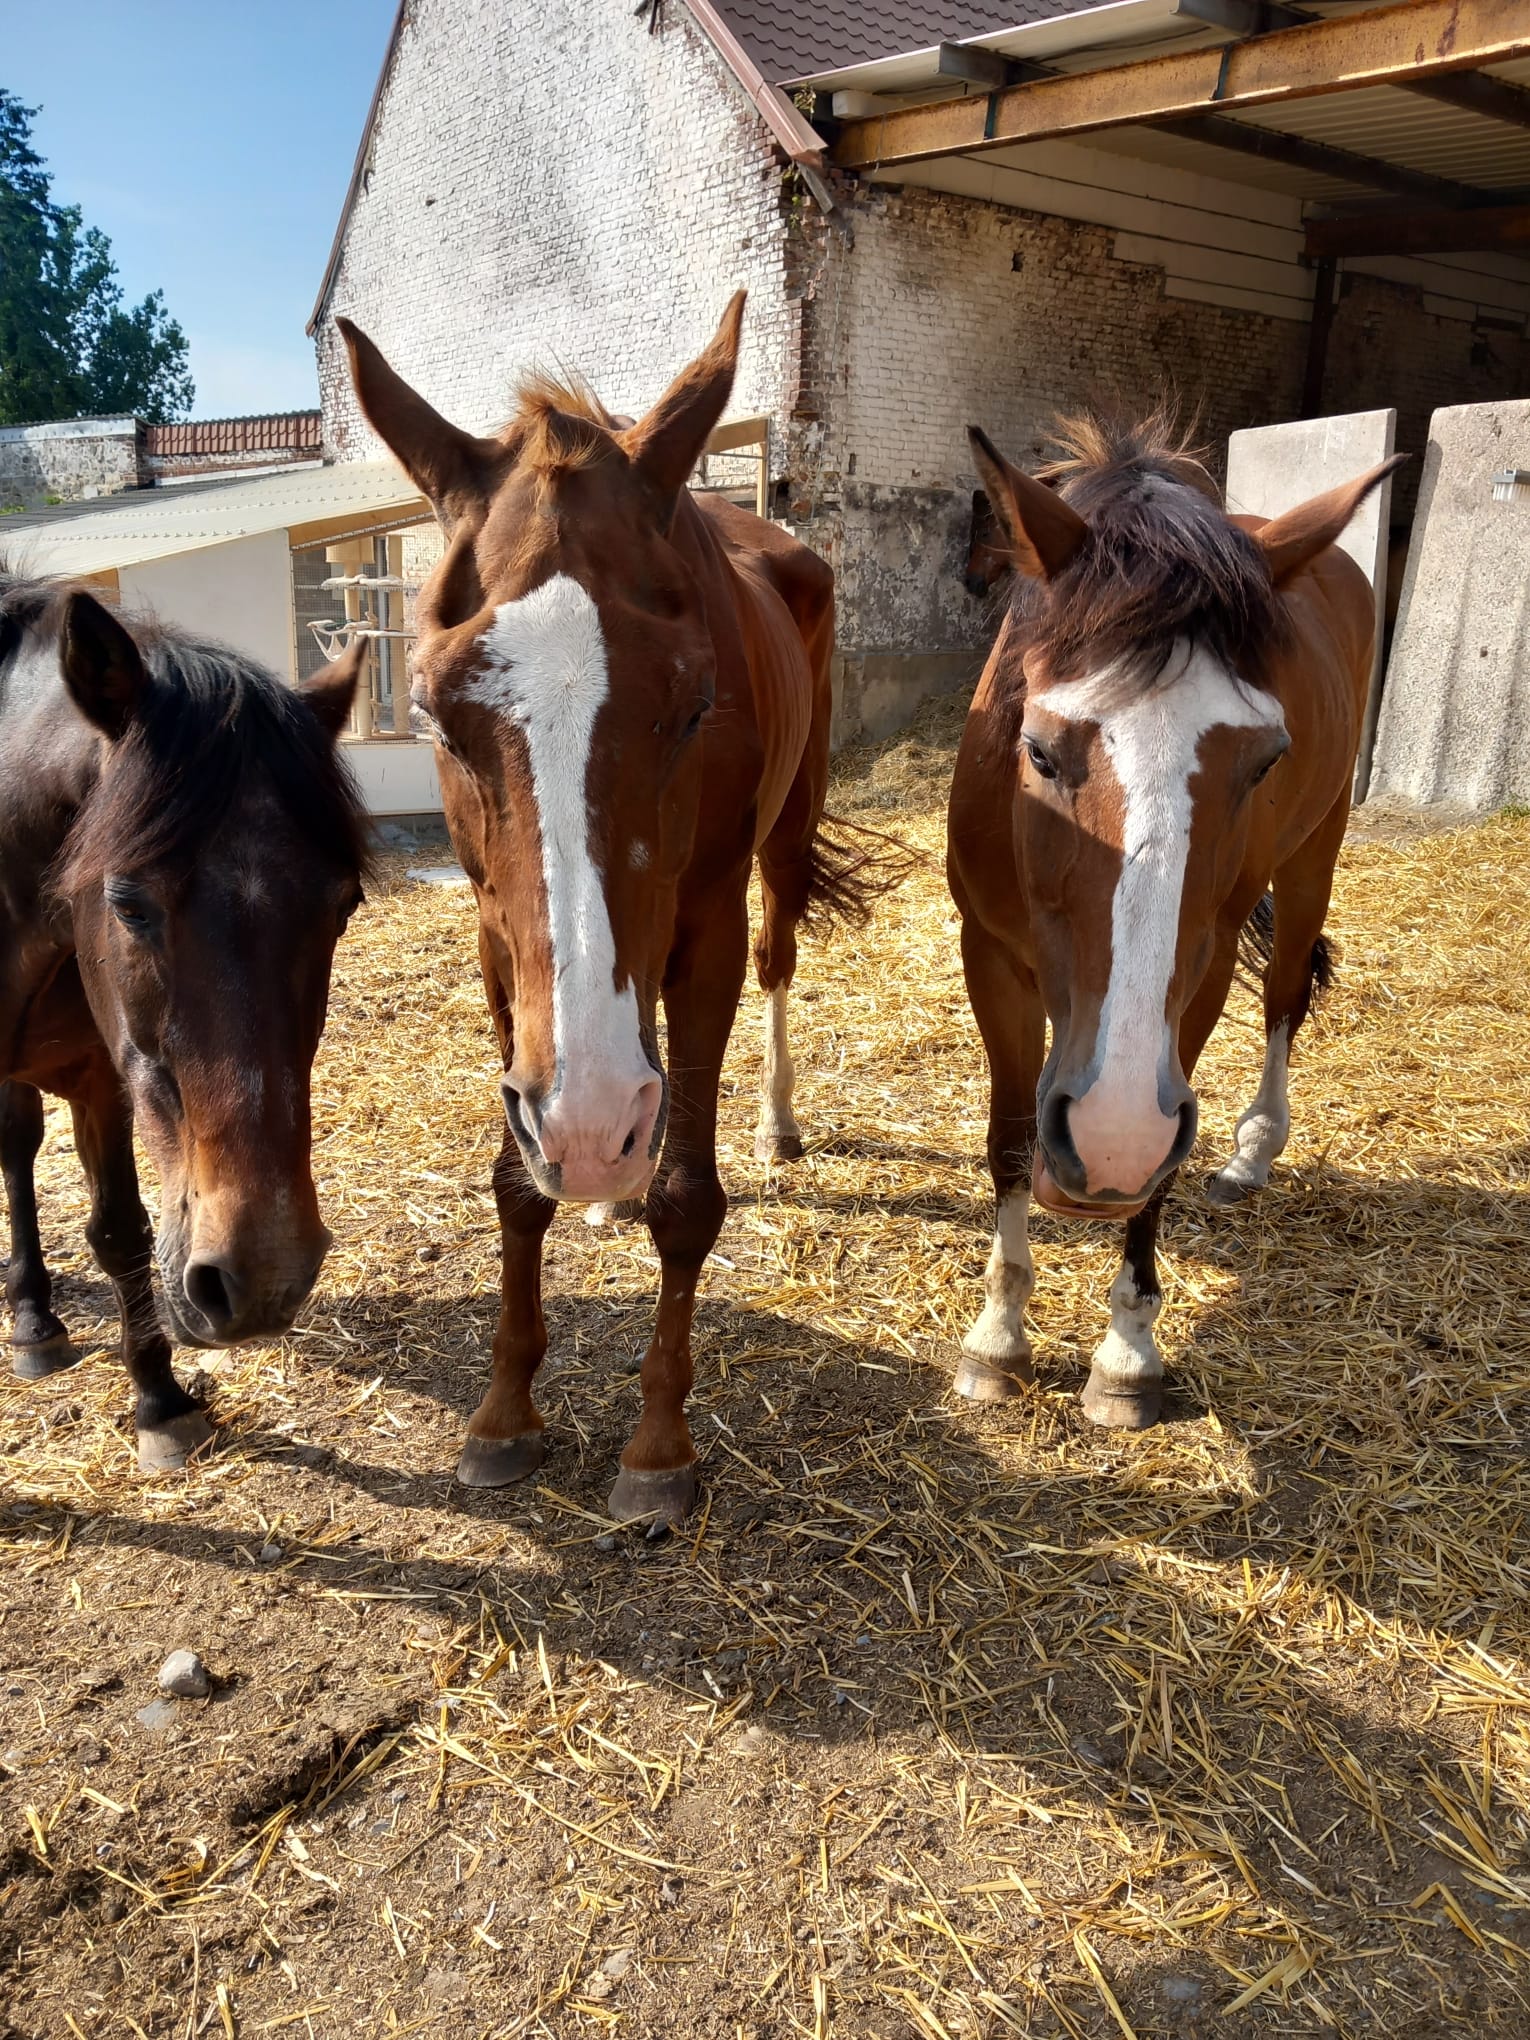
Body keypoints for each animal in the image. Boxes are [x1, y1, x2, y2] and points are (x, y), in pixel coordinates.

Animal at [0, 570, 369, 1469]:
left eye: (344, 906)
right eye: (129, 904)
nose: (264, 1276)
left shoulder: (100, 1078)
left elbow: (121, 1231)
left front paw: (159, 1403)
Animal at [340, 292, 897, 1527]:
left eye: (693, 705)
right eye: (438, 716)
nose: (593, 1130)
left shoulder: (706, 935)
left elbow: (688, 1197)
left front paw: (657, 1448)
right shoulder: (499, 948)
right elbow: (515, 1182)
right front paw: (503, 1416)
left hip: (785, 841)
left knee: (781, 961)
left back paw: (761, 1122)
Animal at [946, 414, 1402, 1427]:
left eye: (1265, 760)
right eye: (1038, 748)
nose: (1106, 1137)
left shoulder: (1198, 978)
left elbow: (1155, 1177)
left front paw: (1126, 1354)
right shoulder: (989, 956)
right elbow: (1009, 1138)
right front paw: (998, 1339)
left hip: (1314, 856)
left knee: (1284, 996)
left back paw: (1252, 1153)